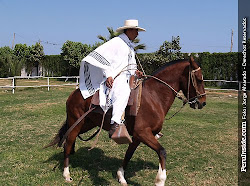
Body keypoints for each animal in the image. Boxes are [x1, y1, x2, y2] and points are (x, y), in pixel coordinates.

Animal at [46, 57, 206, 186]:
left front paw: (121, 176)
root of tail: (74, 93)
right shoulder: (143, 133)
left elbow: (128, 154)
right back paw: (66, 174)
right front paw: (160, 180)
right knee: (68, 143)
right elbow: (162, 151)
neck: (154, 96)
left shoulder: (137, 137)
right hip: (77, 123)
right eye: (199, 79)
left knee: (68, 140)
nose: (202, 103)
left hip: (86, 124)